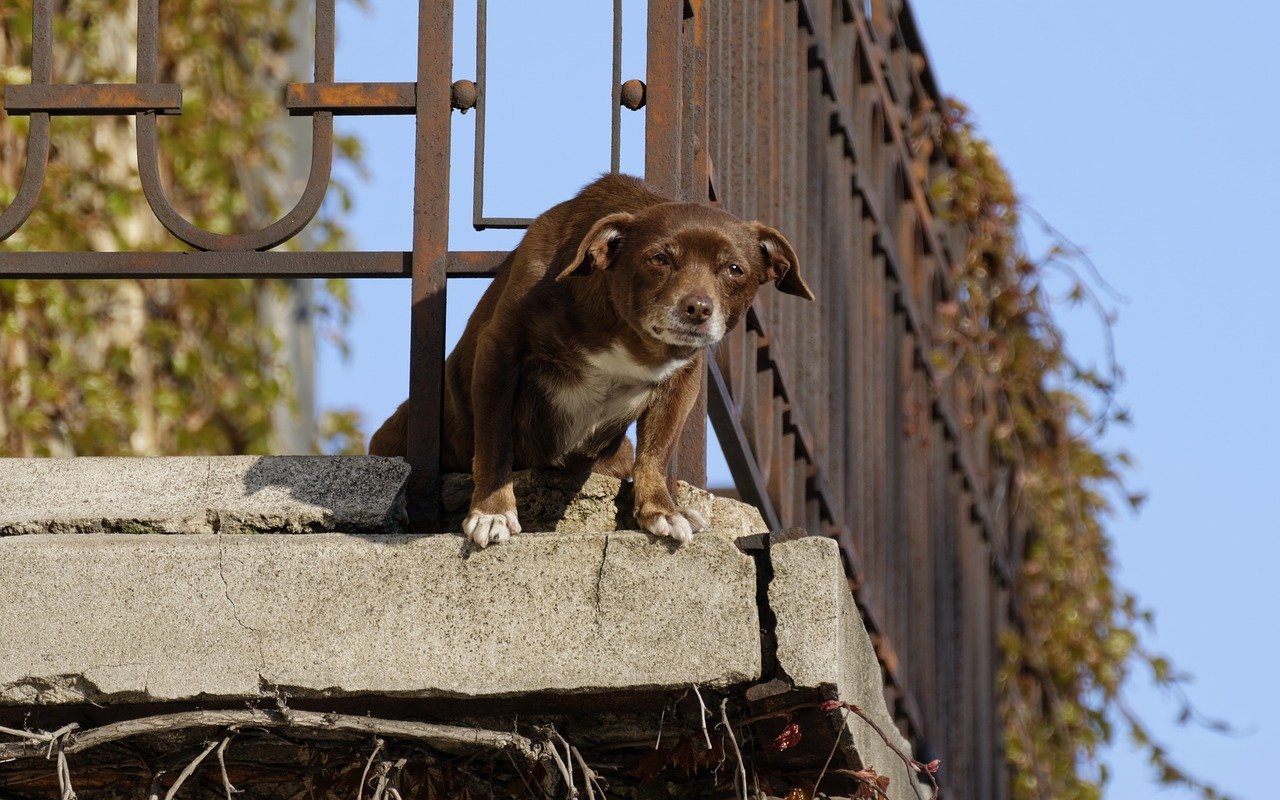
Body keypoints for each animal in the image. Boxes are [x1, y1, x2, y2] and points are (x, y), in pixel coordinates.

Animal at [368, 174, 808, 545]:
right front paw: (492, 512)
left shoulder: (683, 380)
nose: (698, 308)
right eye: (659, 259)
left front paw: (661, 510)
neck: (630, 337)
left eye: (735, 270)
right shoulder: (499, 351)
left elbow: (656, 450)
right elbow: (494, 441)